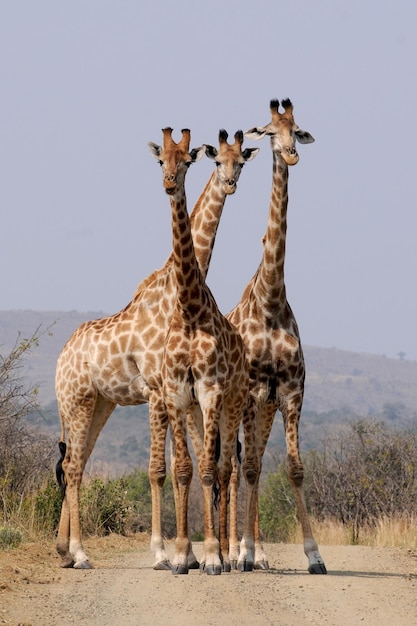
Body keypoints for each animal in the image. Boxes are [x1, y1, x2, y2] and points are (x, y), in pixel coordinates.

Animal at [53, 125, 258, 564]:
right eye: (161, 160)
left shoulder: (175, 392)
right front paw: (164, 553)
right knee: (74, 466)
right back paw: (79, 552)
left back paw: (64, 549)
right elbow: (159, 469)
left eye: (241, 162)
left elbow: (182, 465)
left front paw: (189, 554)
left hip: (100, 403)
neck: (175, 292)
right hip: (76, 400)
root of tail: (61, 358)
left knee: (78, 462)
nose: (230, 184)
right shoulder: (157, 390)